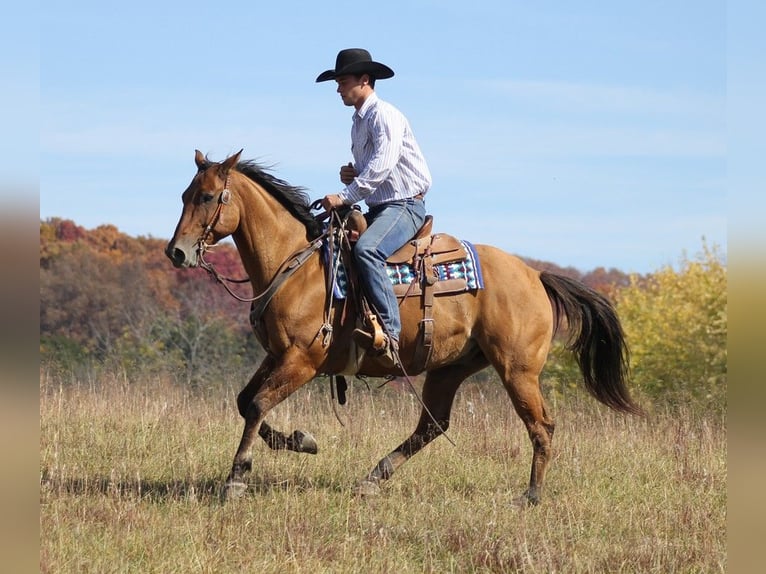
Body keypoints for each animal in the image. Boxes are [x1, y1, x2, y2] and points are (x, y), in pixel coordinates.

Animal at [166, 151, 640, 506]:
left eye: (208, 196)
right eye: (185, 194)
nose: (177, 252)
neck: (295, 264)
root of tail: (535, 275)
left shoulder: (302, 360)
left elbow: (258, 404)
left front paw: (237, 478)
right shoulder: (276, 355)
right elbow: (245, 401)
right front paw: (302, 441)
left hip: (517, 370)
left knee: (541, 426)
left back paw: (530, 496)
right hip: (451, 368)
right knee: (433, 425)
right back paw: (373, 477)